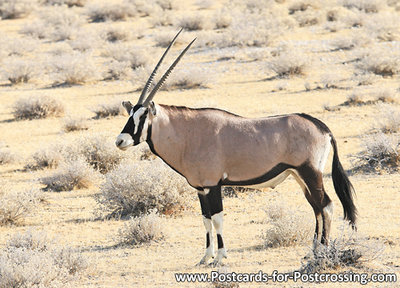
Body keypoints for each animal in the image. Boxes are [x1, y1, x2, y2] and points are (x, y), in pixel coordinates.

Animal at [115, 29, 356, 266]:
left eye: (143, 116)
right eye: (130, 114)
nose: (120, 141)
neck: (189, 133)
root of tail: (322, 127)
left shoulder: (213, 185)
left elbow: (217, 219)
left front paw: (220, 257)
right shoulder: (200, 188)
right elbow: (206, 220)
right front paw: (205, 257)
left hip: (310, 172)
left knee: (326, 205)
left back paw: (322, 251)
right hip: (299, 176)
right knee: (316, 207)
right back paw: (312, 251)